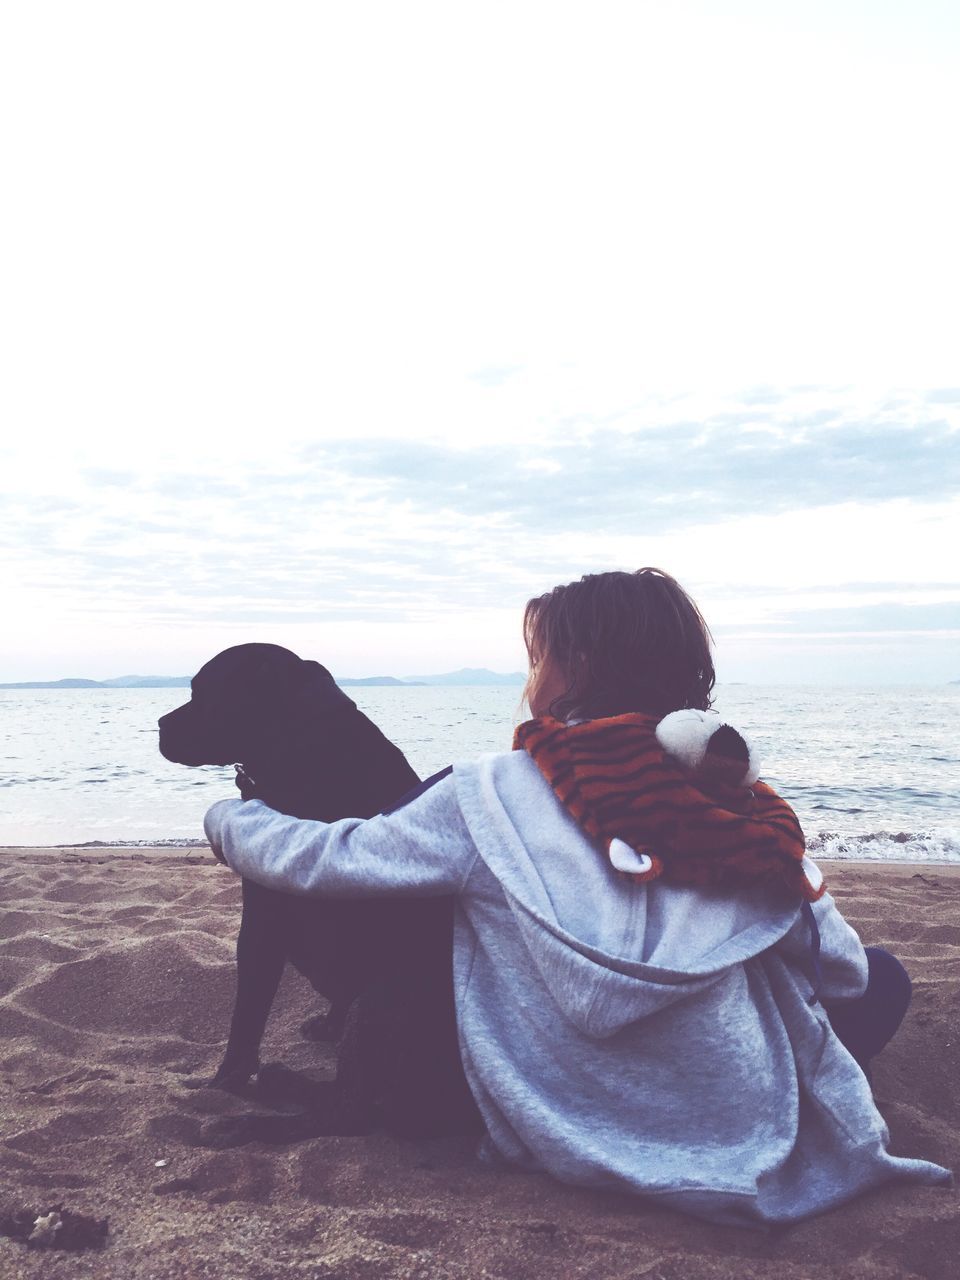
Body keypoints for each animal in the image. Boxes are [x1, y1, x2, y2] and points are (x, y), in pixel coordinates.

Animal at [158, 645, 478, 1136]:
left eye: (201, 691)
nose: (159, 725)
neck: (301, 749)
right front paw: (327, 1028)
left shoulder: (262, 923)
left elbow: (246, 1016)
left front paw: (227, 1080)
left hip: (384, 998)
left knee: (345, 1113)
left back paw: (249, 1117)